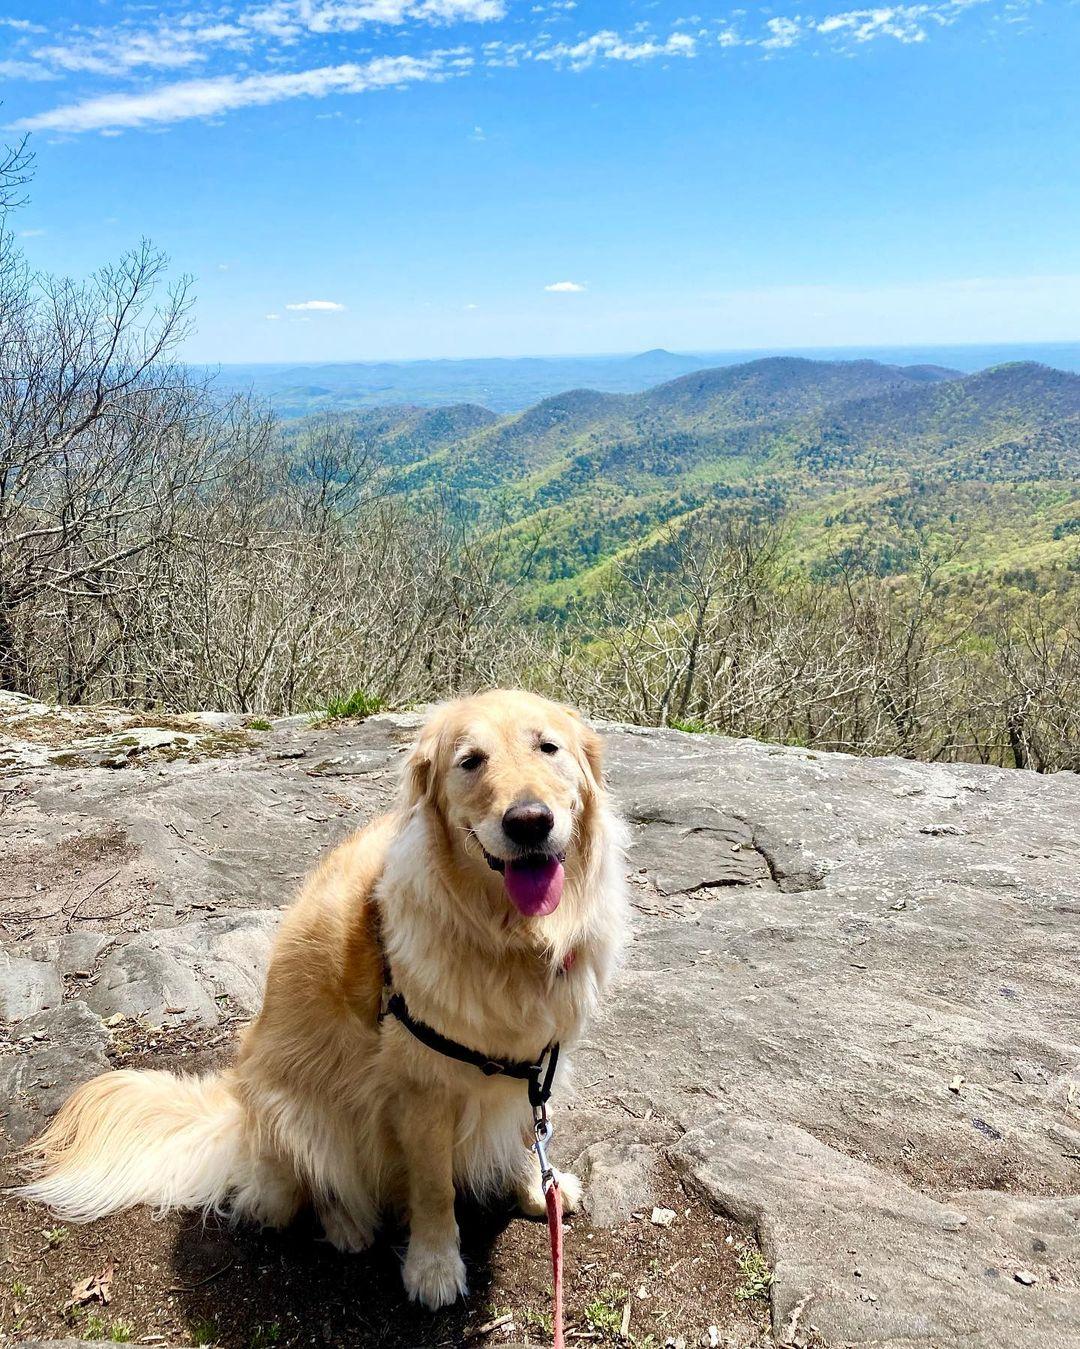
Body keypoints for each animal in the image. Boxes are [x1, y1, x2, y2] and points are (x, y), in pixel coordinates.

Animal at [16, 690, 628, 1300]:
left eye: (548, 747)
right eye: (471, 761)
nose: (530, 822)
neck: (507, 941)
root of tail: (237, 1116)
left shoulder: (531, 1065)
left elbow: (528, 1133)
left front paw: (537, 1188)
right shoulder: (422, 1091)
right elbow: (434, 1189)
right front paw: (433, 1266)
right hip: (300, 1111)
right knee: (309, 1188)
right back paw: (346, 1224)